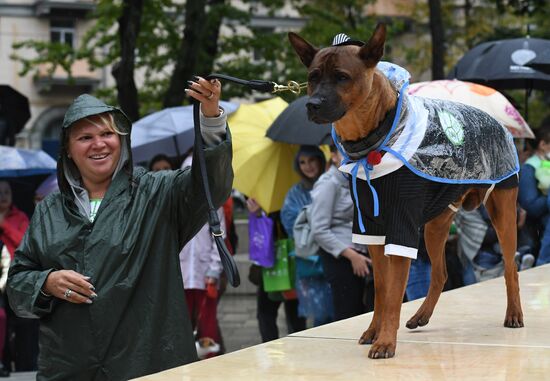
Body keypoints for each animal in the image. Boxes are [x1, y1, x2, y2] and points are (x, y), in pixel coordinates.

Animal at [288, 24, 528, 360]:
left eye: (342, 76)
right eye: (313, 76)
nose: (313, 105)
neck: (373, 139)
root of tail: (500, 125)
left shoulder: (401, 226)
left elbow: (393, 293)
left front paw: (386, 341)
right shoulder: (371, 228)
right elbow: (382, 290)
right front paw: (375, 331)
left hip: (502, 213)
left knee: (510, 266)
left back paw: (514, 313)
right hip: (435, 225)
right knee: (440, 273)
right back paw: (421, 315)